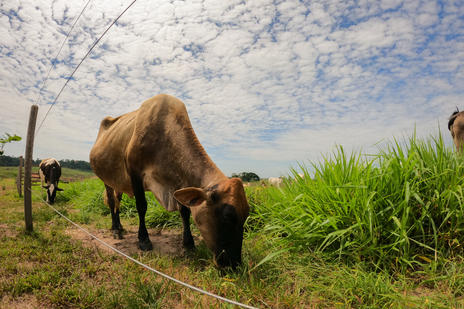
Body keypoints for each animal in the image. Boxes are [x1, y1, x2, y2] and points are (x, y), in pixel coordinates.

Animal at [89, 93, 250, 268]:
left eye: (246, 216)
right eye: (227, 217)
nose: (234, 264)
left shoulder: (177, 183)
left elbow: (185, 212)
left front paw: (189, 244)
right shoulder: (135, 173)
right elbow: (141, 206)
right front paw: (144, 240)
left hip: (118, 181)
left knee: (118, 200)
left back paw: (120, 226)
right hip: (106, 179)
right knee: (112, 202)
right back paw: (115, 230)